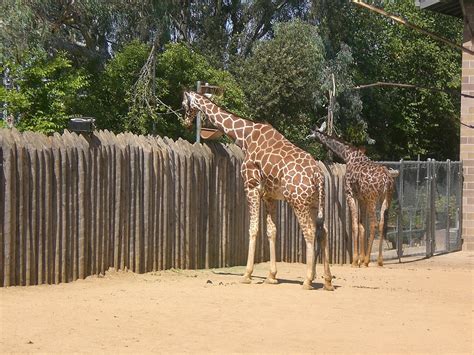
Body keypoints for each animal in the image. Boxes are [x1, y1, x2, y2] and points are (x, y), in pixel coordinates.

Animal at [181, 90, 334, 290]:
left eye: (184, 104)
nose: (184, 122)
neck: (245, 136)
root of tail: (319, 176)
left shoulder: (251, 186)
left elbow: (253, 228)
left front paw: (247, 275)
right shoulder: (270, 196)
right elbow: (272, 231)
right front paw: (271, 276)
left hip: (298, 201)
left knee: (309, 231)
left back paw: (308, 280)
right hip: (316, 202)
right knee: (324, 231)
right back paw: (328, 281)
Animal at [306, 125, 394, 268]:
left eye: (312, 132)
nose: (308, 137)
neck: (348, 155)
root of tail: (387, 180)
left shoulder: (350, 194)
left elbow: (354, 225)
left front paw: (355, 261)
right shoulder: (362, 198)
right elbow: (361, 226)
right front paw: (360, 259)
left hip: (373, 199)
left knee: (374, 223)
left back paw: (368, 260)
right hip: (386, 199)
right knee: (381, 224)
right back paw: (379, 261)